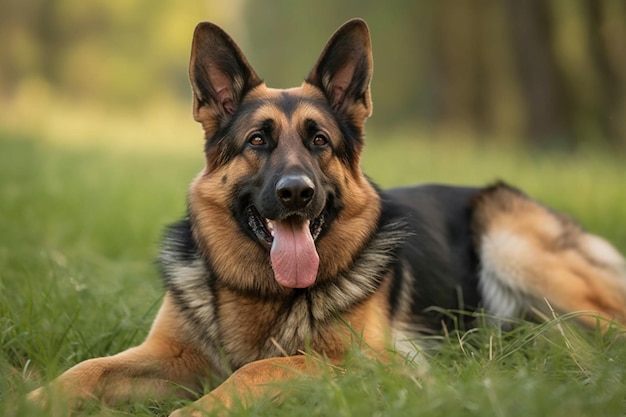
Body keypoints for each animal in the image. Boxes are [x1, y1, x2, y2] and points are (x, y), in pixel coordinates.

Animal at [29, 17, 624, 414]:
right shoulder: (166, 356)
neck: (263, 293)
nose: (297, 193)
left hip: (512, 246)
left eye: (319, 141)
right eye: (258, 141)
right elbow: (84, 372)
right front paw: (32, 398)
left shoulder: (367, 364)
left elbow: (266, 366)